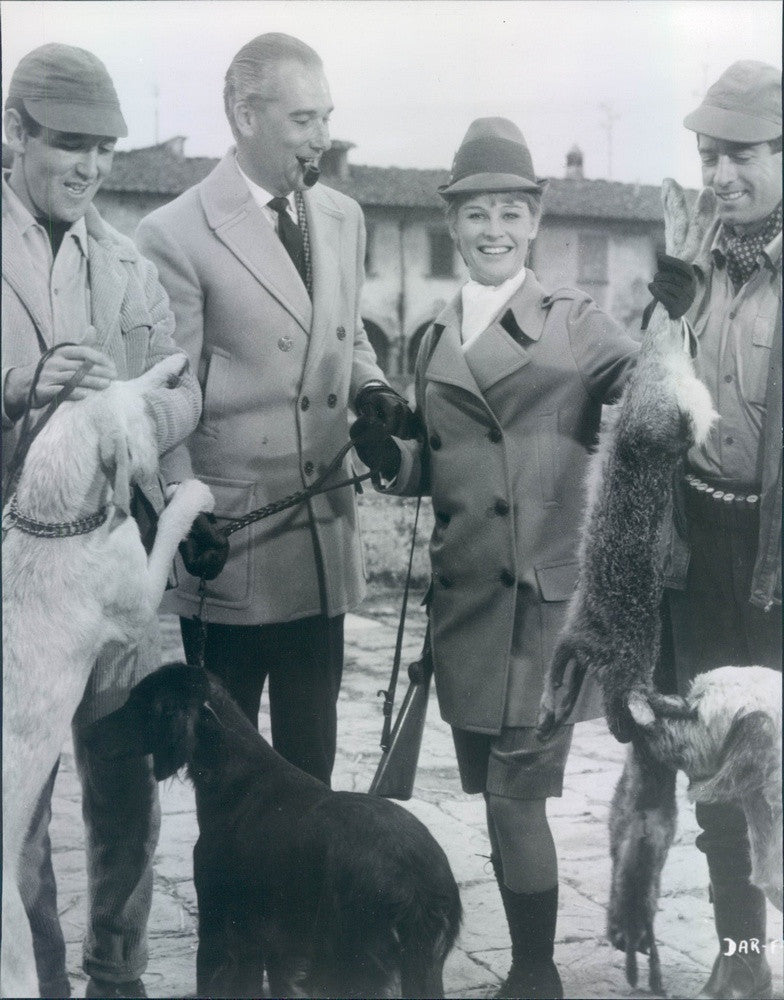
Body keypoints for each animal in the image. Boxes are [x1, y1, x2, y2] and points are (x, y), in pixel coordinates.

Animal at [1, 354, 214, 1000]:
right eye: (137, 408)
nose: (181, 366)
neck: (50, 519)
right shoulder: (140, 593)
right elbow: (166, 525)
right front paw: (191, 494)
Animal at [86, 660, 462, 996]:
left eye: (138, 704)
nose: (90, 733)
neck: (237, 776)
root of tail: (421, 880)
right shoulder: (269, 939)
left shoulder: (218, 922)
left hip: (348, 960)